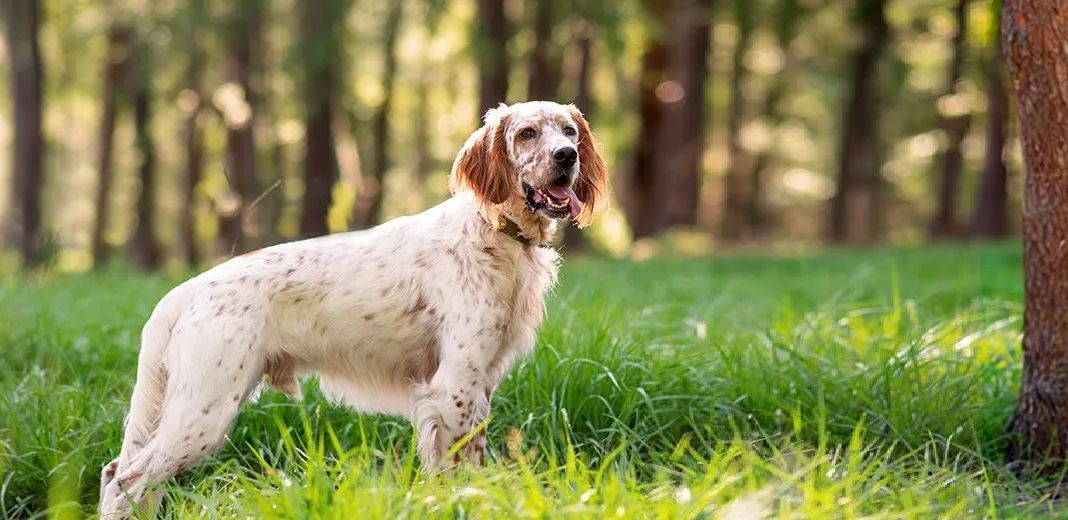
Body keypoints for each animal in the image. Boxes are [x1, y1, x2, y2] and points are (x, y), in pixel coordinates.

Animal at [100, 101, 610, 516]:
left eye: (569, 131)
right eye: (527, 133)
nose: (567, 156)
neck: (494, 235)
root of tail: (188, 289)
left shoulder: (479, 384)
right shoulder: (454, 386)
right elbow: (457, 472)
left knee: (121, 475)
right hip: (205, 410)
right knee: (126, 481)